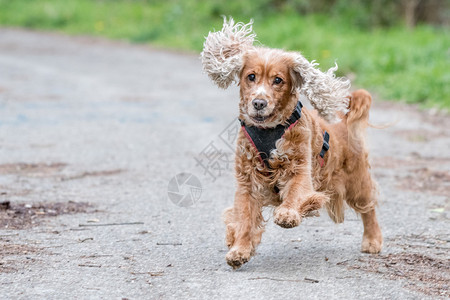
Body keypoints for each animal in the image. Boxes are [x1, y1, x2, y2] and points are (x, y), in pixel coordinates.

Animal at [202, 17, 382, 268]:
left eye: (278, 80)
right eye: (251, 77)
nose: (259, 103)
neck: (270, 131)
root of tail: (344, 122)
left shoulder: (300, 170)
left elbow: (296, 193)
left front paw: (287, 214)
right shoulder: (248, 182)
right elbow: (245, 219)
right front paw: (239, 249)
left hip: (357, 181)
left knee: (369, 208)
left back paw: (372, 240)